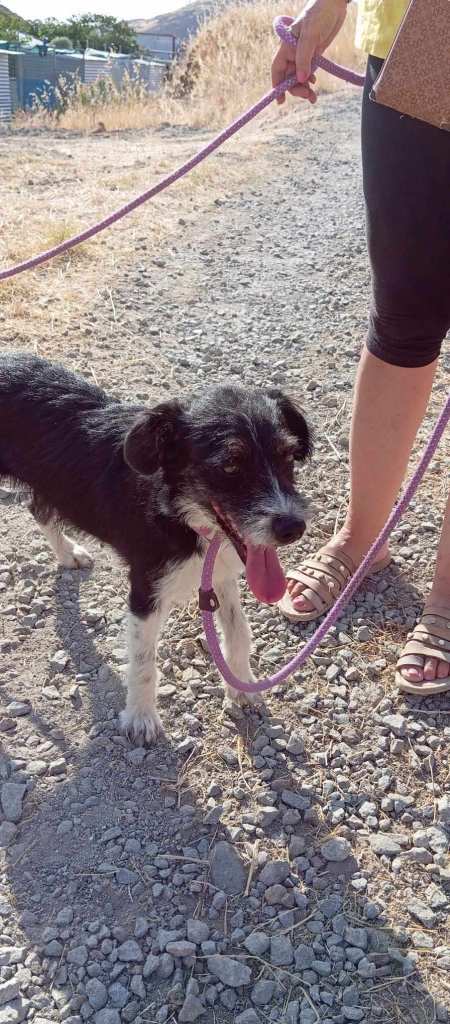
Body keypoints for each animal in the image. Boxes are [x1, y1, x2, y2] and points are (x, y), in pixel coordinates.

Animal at [0, 352, 312, 743]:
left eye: (288, 457)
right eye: (230, 466)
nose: (293, 528)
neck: (183, 516)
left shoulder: (222, 573)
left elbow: (239, 631)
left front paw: (242, 686)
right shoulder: (145, 588)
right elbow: (144, 660)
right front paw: (141, 717)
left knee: (38, 509)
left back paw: (68, 553)